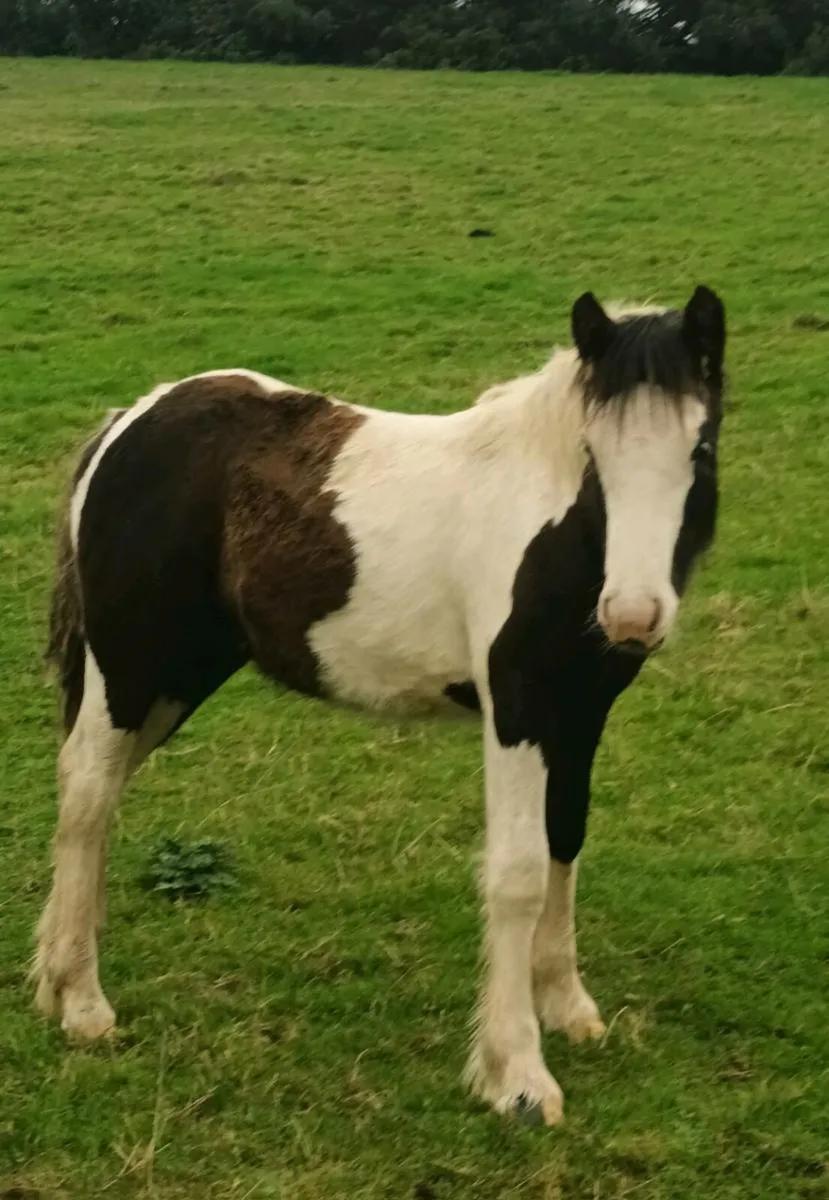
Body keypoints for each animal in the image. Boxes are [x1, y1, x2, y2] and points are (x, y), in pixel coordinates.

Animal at [34, 285, 725, 1126]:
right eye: (593, 454)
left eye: (699, 450)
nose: (631, 616)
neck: (549, 519)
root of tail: (130, 419)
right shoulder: (519, 709)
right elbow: (518, 872)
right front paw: (516, 1076)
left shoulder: (580, 713)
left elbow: (564, 842)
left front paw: (566, 1007)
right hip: (132, 672)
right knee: (87, 797)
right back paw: (81, 1001)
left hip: (172, 682)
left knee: (99, 801)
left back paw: (56, 975)